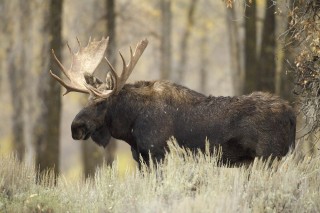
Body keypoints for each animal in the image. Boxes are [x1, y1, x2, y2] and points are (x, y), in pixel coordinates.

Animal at [50, 37, 298, 166]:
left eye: (100, 103)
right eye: (88, 98)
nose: (75, 127)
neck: (130, 126)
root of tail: (291, 113)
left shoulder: (158, 153)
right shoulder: (140, 156)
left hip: (269, 157)